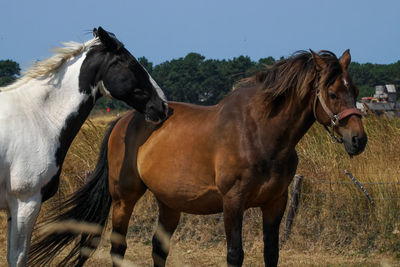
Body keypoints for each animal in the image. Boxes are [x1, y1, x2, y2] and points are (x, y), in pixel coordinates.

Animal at [0, 27, 168, 267]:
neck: (36, 117)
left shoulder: (14, 207)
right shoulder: (25, 201)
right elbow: (18, 257)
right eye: (131, 63)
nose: (162, 105)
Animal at [28, 49, 366, 266]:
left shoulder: (276, 203)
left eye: (355, 88)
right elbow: (235, 254)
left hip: (169, 203)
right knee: (117, 247)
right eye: (333, 93)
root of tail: (124, 120)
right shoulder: (233, 202)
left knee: (158, 249)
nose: (358, 140)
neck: (260, 134)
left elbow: (271, 253)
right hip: (124, 197)